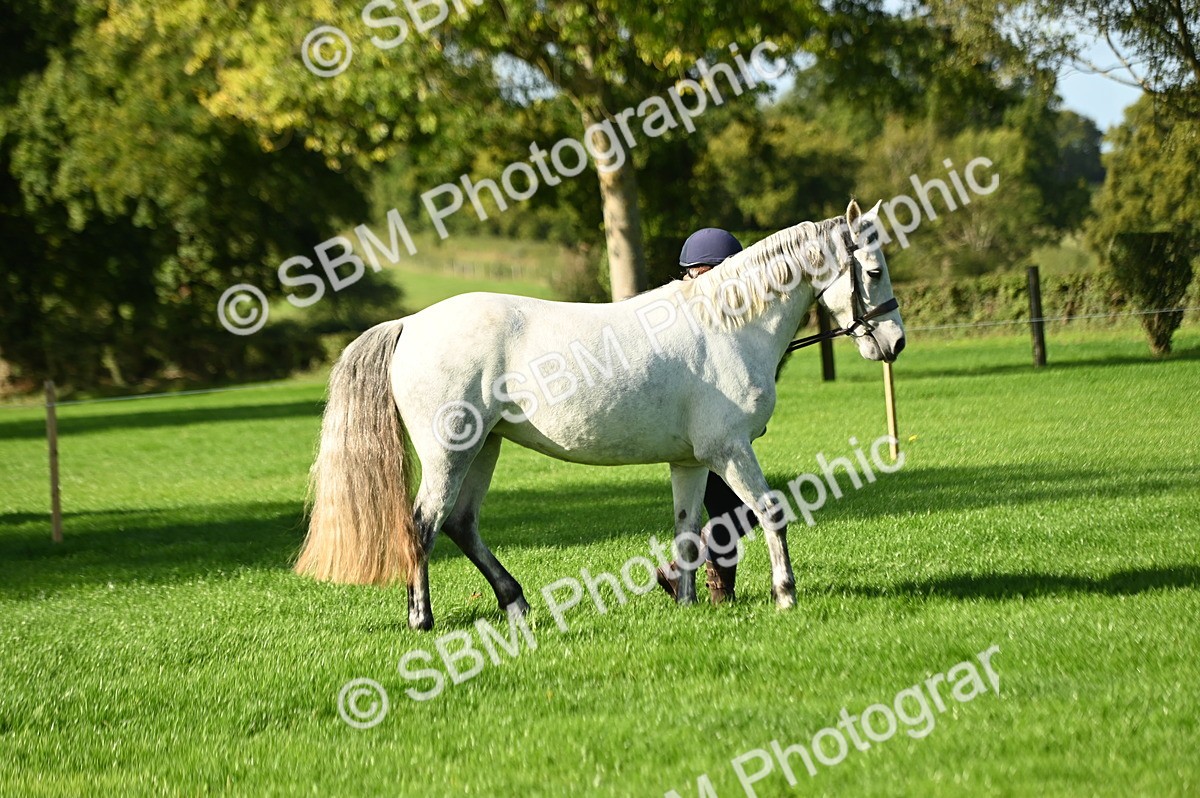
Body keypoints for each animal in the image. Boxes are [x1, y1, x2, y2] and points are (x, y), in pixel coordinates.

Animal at [295, 199, 905, 630]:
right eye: (873, 270)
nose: (894, 343)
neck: (727, 325)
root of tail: (411, 324)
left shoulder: (691, 462)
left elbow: (688, 530)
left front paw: (687, 603)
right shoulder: (729, 450)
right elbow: (770, 511)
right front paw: (785, 595)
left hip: (484, 448)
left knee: (461, 524)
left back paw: (516, 604)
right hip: (450, 453)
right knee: (424, 525)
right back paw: (422, 619)